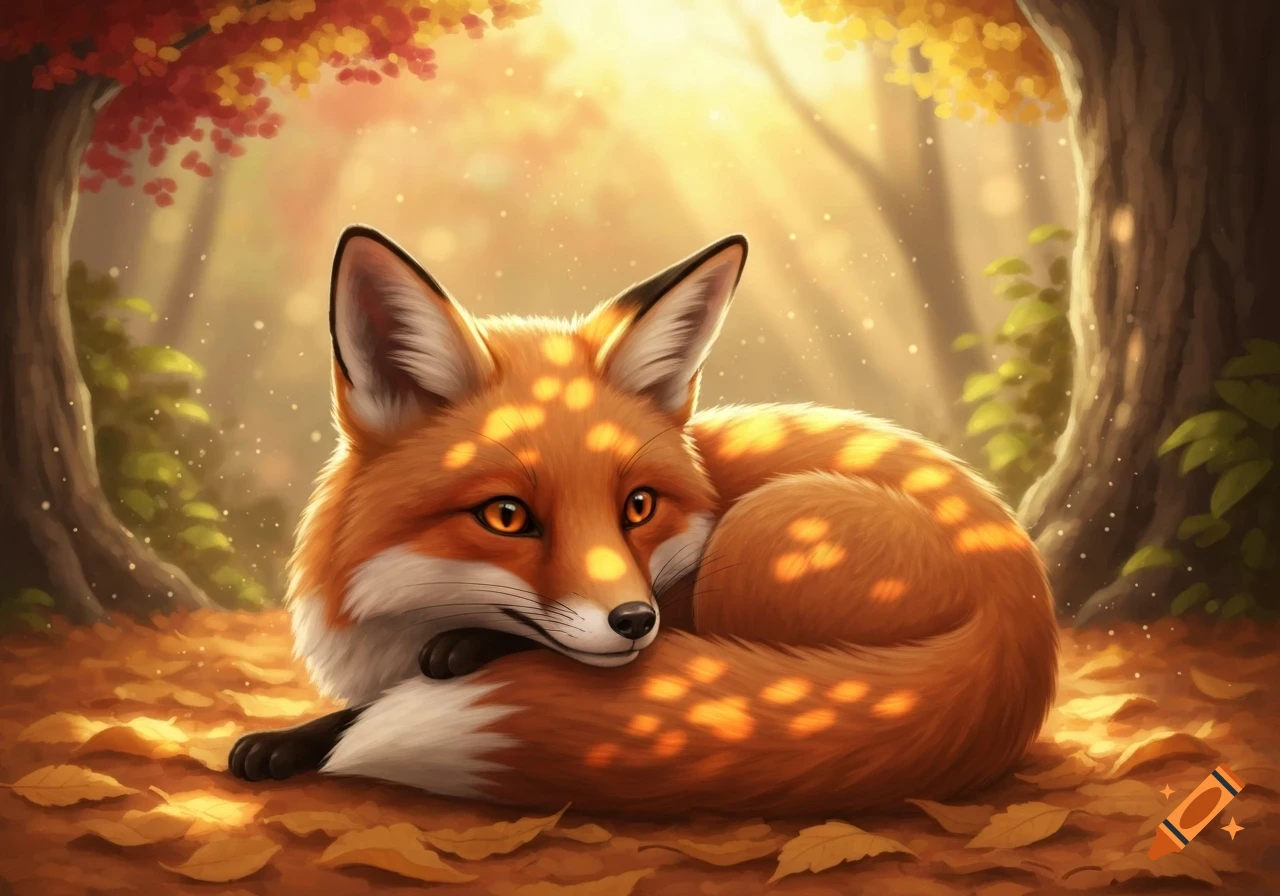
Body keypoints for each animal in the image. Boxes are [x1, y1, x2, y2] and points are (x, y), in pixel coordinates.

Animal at [228, 225, 1059, 817]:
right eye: (506, 515)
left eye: (638, 506)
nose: (633, 621)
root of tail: (1023, 604)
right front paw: (284, 742)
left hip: (756, 538)